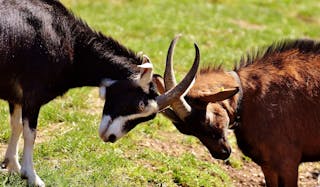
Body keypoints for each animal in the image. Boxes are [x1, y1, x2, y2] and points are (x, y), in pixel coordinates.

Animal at [156, 37, 320, 186]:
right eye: (188, 131)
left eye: (207, 119)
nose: (222, 153)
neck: (249, 96)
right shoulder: (269, 166)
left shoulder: (287, 164)